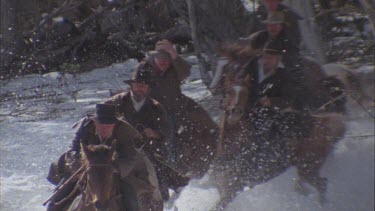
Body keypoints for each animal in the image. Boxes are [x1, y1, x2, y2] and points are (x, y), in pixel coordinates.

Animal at [209, 47, 346, 210]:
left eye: (246, 93)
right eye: (228, 92)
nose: (235, 112)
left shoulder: (232, 190)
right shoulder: (223, 188)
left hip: (309, 167)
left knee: (321, 184)